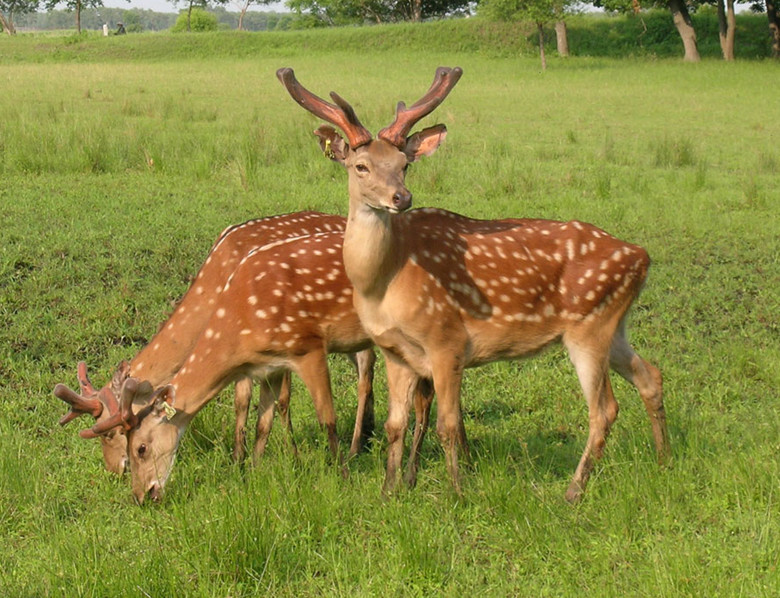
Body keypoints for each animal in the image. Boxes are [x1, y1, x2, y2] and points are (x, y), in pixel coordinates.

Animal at [78, 231, 436, 506]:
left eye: (140, 447)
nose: (140, 495)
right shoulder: (268, 365)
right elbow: (263, 419)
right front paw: (250, 471)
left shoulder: (307, 346)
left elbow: (326, 418)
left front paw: (340, 475)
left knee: (396, 389)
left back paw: (381, 461)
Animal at [276, 68, 672, 504]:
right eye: (360, 166)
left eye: (404, 164)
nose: (401, 197)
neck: (384, 282)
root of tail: (641, 256)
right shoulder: (396, 351)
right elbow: (396, 426)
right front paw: (389, 491)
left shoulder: (446, 339)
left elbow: (447, 424)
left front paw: (458, 492)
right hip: (614, 324)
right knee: (651, 376)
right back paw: (664, 462)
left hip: (590, 327)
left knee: (604, 409)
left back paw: (573, 490)